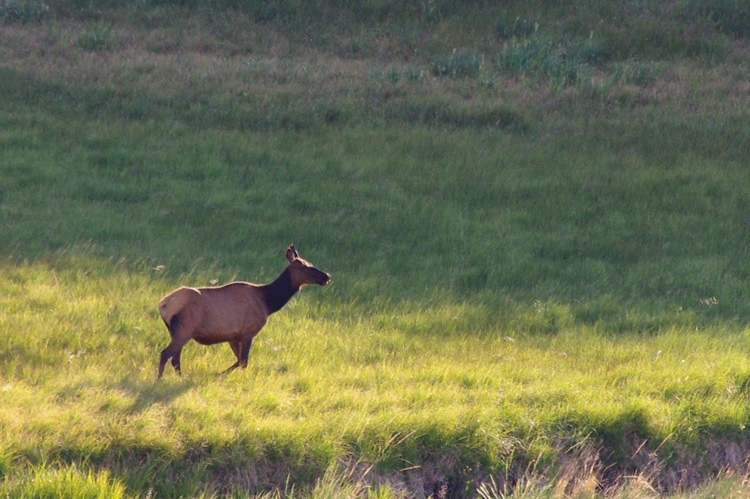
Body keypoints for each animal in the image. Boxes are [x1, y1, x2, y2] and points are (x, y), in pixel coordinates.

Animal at [157, 246, 330, 378]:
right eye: (304, 266)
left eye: (310, 263)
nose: (326, 276)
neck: (268, 302)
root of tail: (163, 305)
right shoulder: (248, 332)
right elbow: (243, 361)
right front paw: (222, 374)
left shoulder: (233, 336)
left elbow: (239, 360)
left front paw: (218, 374)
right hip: (184, 329)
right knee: (165, 354)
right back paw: (159, 381)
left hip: (176, 331)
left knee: (175, 359)